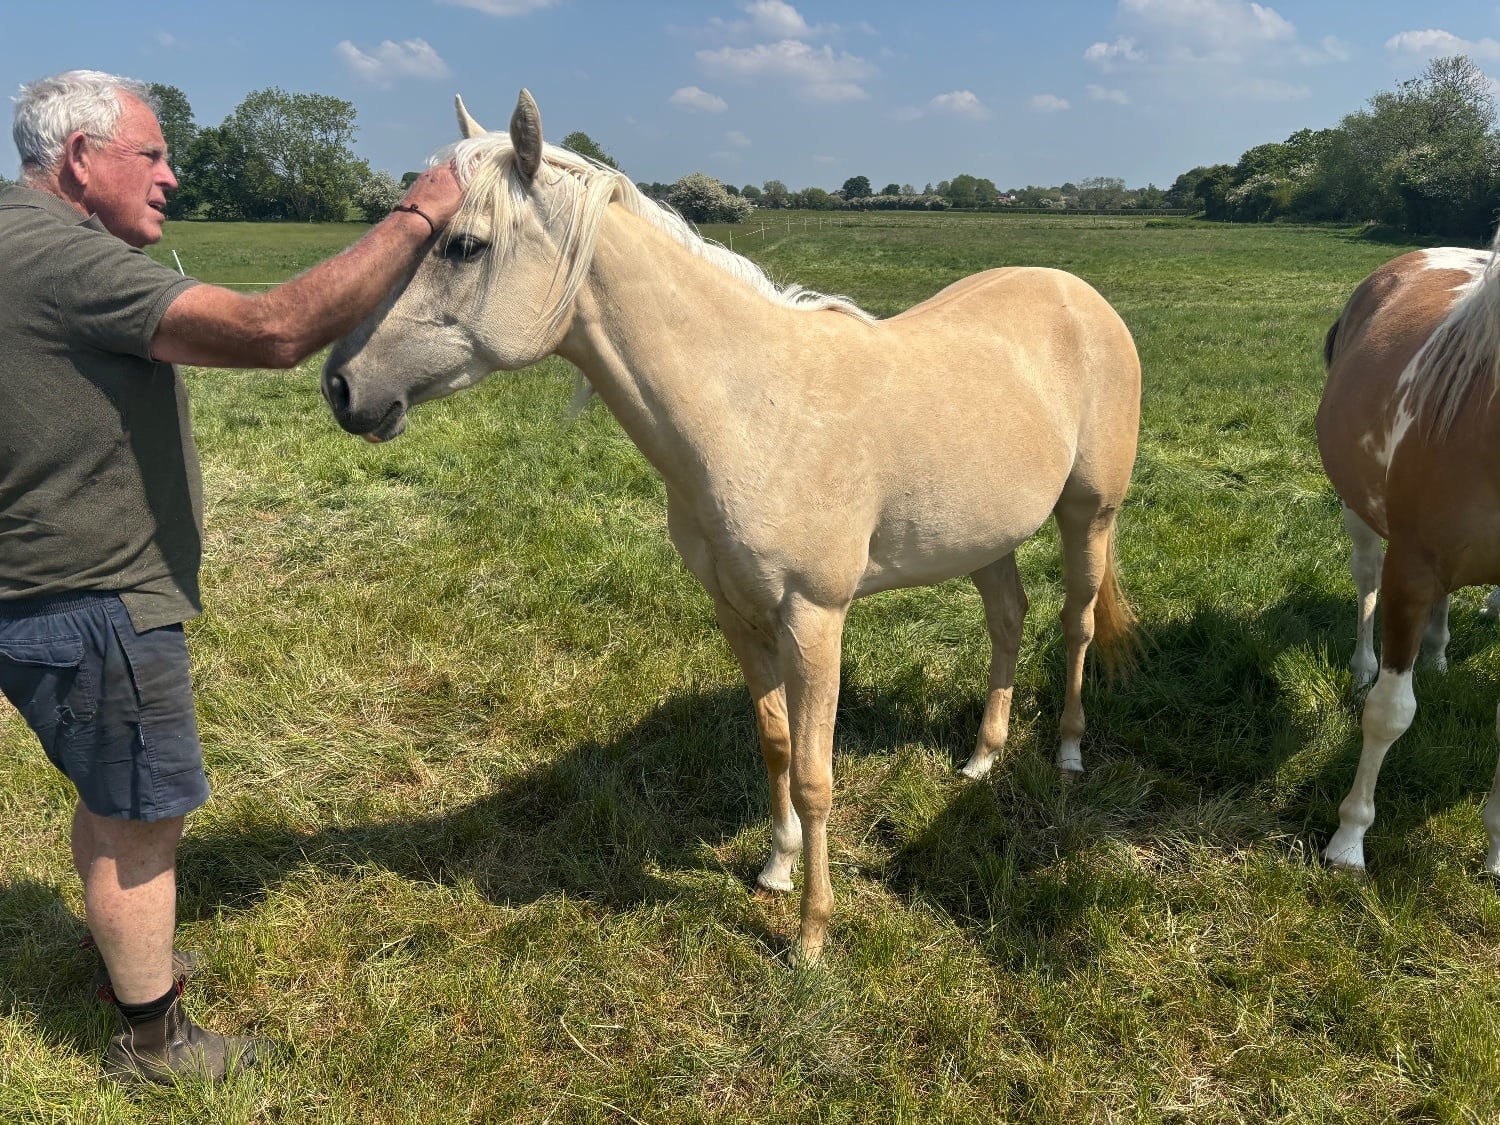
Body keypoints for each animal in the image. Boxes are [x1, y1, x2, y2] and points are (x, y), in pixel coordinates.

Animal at [321, 90, 1142, 961]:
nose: (341, 386)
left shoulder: (815, 618)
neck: (751, 409)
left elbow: (816, 774)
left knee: (1076, 621)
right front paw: (776, 867)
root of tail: (1082, 296)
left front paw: (811, 935)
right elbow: (775, 742)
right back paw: (982, 757)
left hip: (1090, 513)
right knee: (1008, 620)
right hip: (985, 534)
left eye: (464, 245)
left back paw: (1067, 749)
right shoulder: (737, 612)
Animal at [1318, 235, 1500, 874]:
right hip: (1360, 514)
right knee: (1366, 582)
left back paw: (1440, 654)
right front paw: (1349, 840)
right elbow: (1388, 712)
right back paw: (1363, 668)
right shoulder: (1411, 573)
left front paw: (1497, 849)